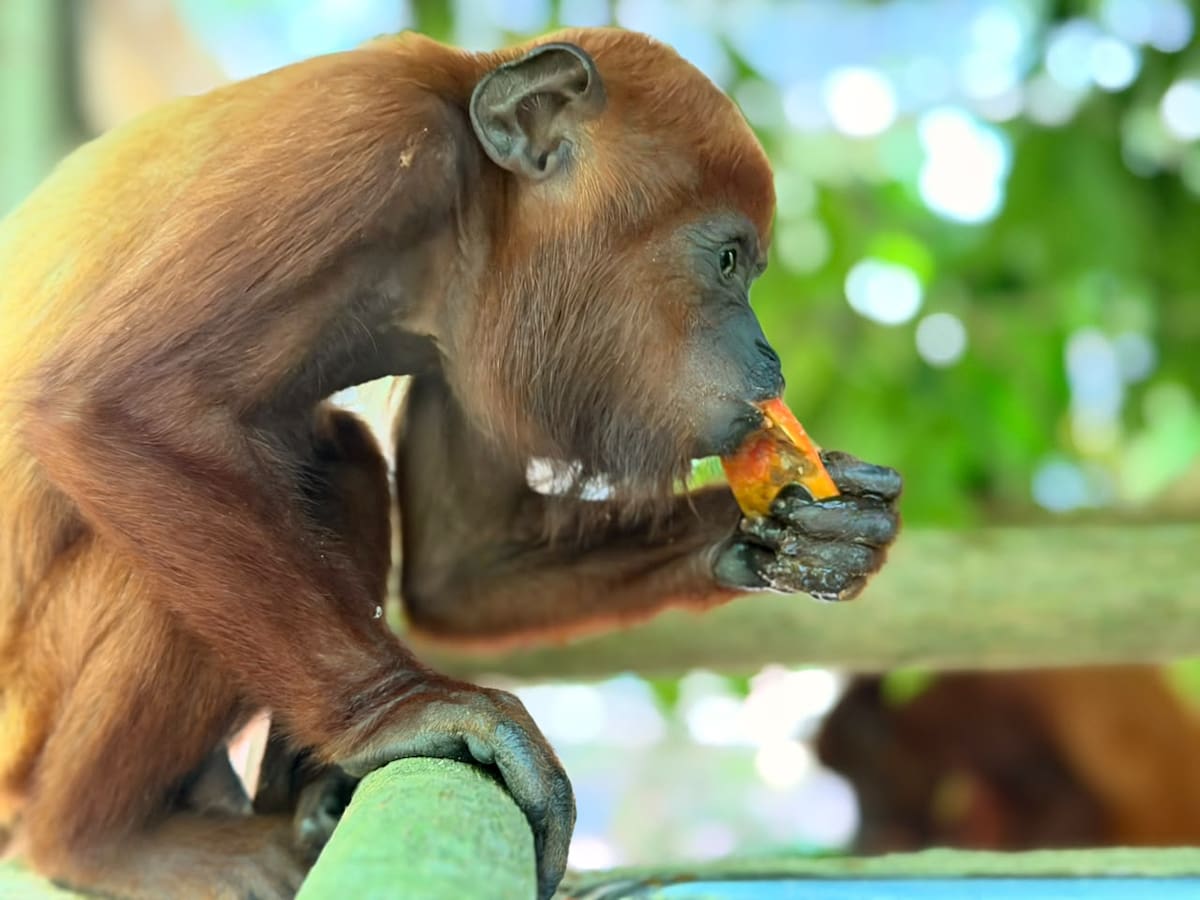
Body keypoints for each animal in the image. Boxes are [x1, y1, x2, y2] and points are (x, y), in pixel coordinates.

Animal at [0, 27, 901, 899]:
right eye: (727, 261)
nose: (770, 357)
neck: (461, 203)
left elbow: (462, 576)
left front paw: (801, 533)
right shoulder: (367, 140)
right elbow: (112, 406)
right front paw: (407, 716)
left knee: (343, 460)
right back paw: (105, 844)